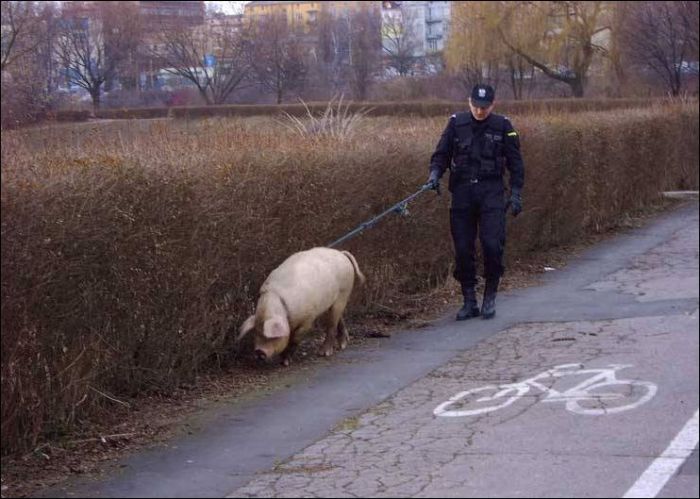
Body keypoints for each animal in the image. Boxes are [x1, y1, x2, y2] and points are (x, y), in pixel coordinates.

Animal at [237, 247, 366, 368]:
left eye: (270, 336)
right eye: (256, 332)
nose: (259, 351)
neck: (283, 310)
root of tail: (341, 253)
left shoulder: (308, 319)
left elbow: (295, 339)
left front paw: (284, 362)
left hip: (344, 292)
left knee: (332, 325)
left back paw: (324, 353)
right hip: (332, 301)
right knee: (339, 318)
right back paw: (343, 344)